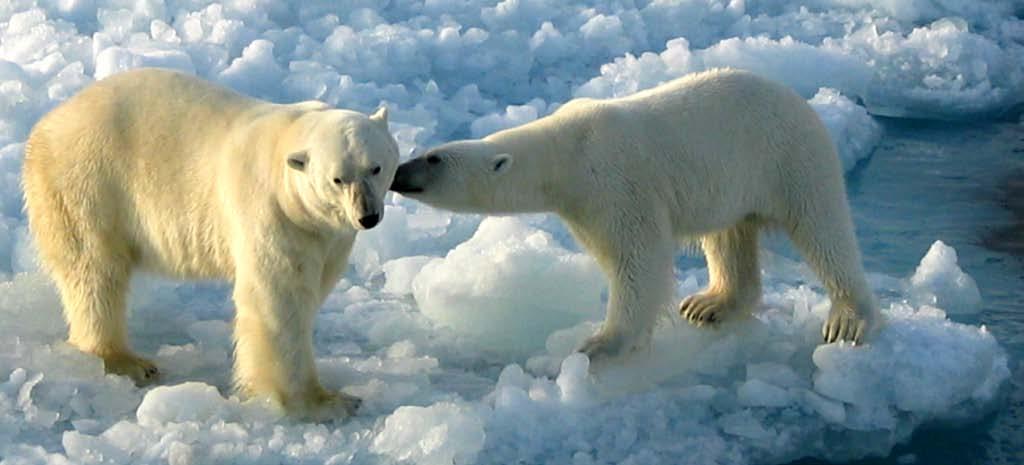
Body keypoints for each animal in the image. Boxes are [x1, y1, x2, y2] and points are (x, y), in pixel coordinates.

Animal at [23, 67, 399, 419]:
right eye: (337, 179)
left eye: (376, 167)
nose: (368, 216)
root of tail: (46, 124)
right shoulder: (272, 212)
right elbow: (278, 298)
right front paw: (322, 402)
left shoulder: (325, 235)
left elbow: (314, 283)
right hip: (88, 183)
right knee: (95, 274)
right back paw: (126, 361)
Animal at [391, 69, 880, 364]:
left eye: (433, 159)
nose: (397, 172)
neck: (570, 150)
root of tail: (801, 100)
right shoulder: (582, 206)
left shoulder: (614, 183)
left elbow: (638, 260)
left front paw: (602, 343)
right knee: (727, 236)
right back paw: (710, 303)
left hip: (789, 158)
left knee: (823, 228)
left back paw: (847, 318)